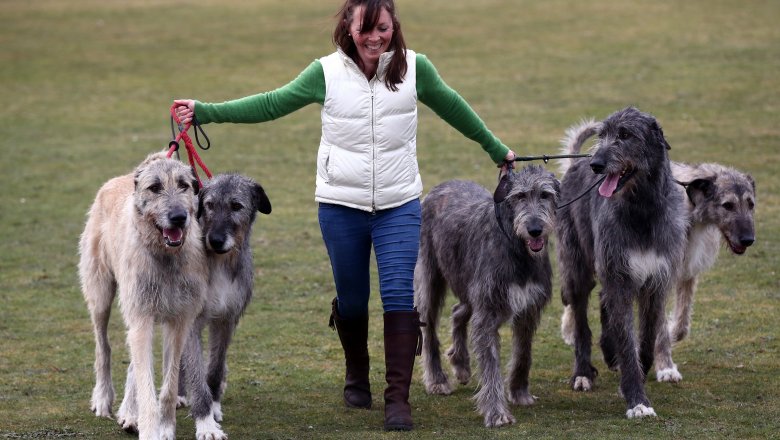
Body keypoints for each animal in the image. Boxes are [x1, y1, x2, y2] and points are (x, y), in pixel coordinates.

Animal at [80, 150, 207, 438]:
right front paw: (151, 429)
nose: (179, 217)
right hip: (100, 294)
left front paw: (166, 427)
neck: (165, 256)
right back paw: (104, 399)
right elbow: (147, 389)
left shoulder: (179, 322)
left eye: (184, 184)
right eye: (155, 187)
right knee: (103, 347)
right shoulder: (141, 318)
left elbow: (168, 386)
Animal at [177, 174, 272, 440]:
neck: (220, 261)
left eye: (236, 206)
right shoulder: (191, 321)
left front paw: (214, 406)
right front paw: (205, 423)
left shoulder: (227, 320)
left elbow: (215, 369)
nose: (215, 240)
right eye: (209, 205)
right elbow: (196, 374)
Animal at [414, 164, 560, 426]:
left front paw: (519, 392)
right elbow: (491, 364)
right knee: (428, 327)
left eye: (545, 194)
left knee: (458, 311)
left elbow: (523, 352)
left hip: (470, 284)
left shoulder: (528, 307)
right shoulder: (488, 311)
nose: (535, 230)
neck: (517, 248)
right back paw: (437, 379)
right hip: (431, 278)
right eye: (519, 196)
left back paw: (461, 362)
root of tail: (442, 185)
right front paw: (497, 413)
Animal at [556, 108, 688, 418]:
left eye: (626, 134)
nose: (596, 165)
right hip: (578, 268)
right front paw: (637, 399)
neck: (642, 210)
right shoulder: (620, 276)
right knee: (582, 323)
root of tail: (574, 165)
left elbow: (647, 338)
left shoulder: (656, 281)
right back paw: (582, 372)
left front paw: (641, 370)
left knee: (604, 301)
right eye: (603, 134)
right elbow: (627, 341)